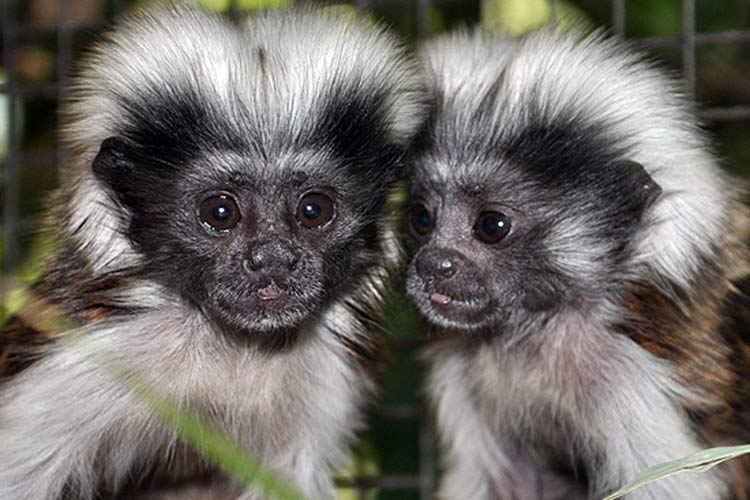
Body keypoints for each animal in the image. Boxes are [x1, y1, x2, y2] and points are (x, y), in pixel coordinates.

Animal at [0, 4, 425, 499]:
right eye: (220, 212)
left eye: (313, 210)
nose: (273, 259)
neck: (228, 347)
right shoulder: (82, 355)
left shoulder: (328, 373)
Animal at [403, 27, 750, 500]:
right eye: (421, 219)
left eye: (492, 225)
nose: (433, 265)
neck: (540, 329)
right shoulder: (461, 371)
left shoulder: (634, 376)